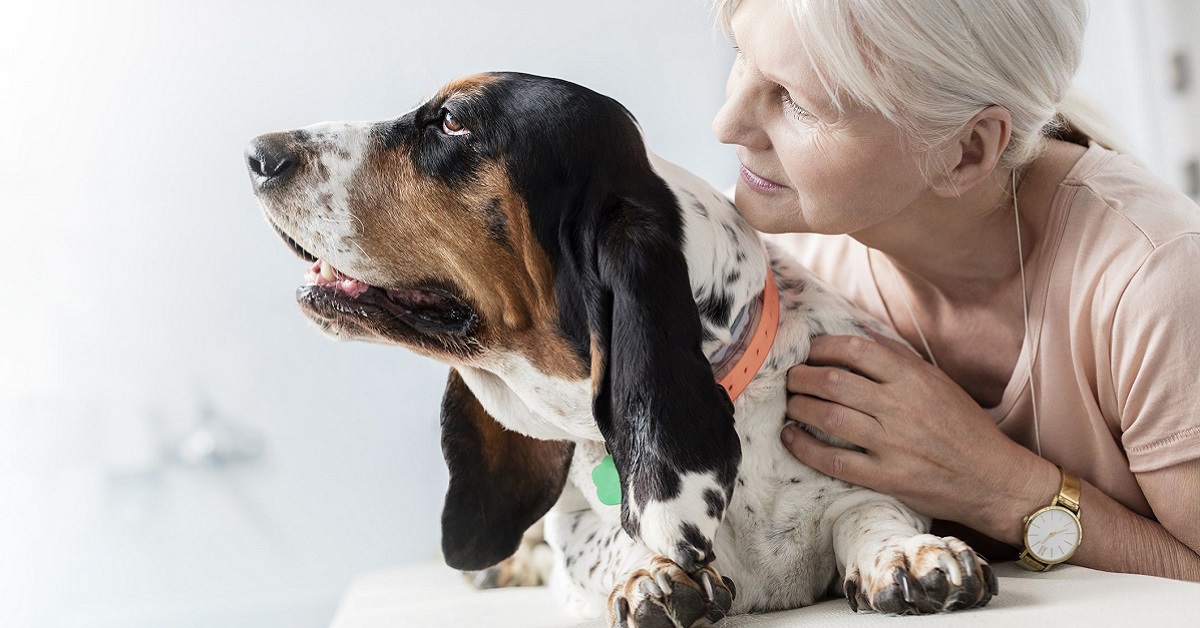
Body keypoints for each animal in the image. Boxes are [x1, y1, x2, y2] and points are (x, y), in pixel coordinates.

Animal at [243, 72, 993, 624]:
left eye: (453, 121)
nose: (256, 153)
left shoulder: (861, 477)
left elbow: (869, 510)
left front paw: (910, 554)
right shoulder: (577, 530)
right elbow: (599, 543)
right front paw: (650, 575)